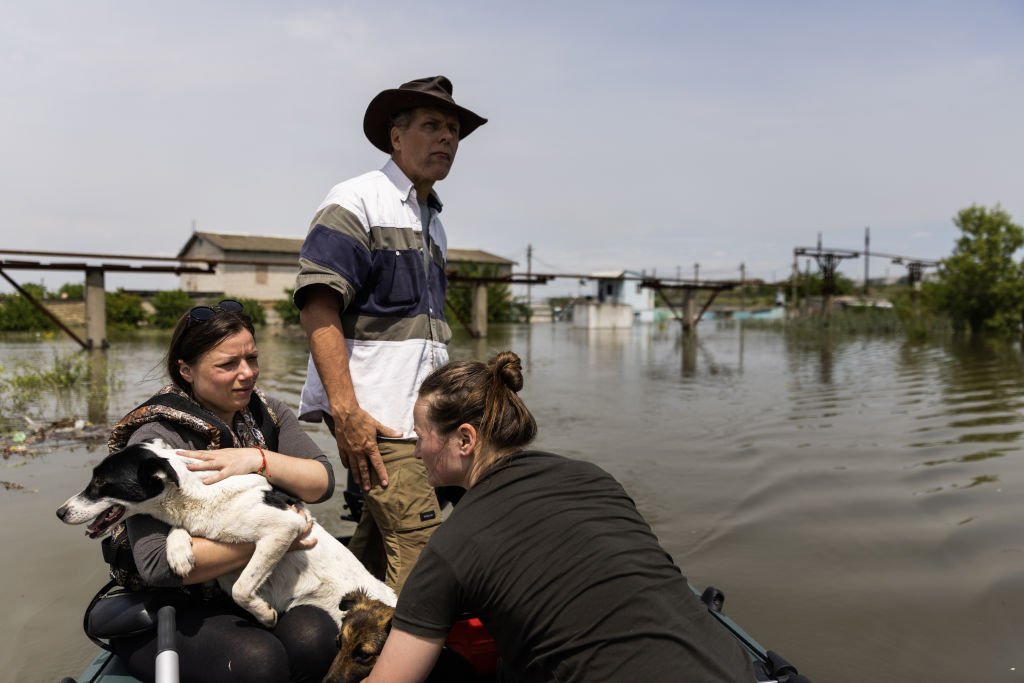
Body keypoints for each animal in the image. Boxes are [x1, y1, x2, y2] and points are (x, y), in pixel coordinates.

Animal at [55, 440, 395, 626]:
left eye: (101, 483)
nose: (60, 512)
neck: (197, 497)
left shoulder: (284, 527)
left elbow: (242, 588)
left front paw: (264, 614)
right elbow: (178, 531)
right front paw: (179, 554)